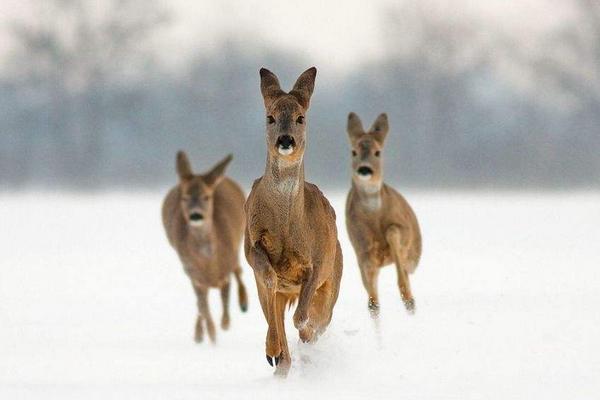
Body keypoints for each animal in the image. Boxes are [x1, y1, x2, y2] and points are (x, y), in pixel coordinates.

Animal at [161, 152, 247, 342]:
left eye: (206, 197)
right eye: (185, 197)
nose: (195, 215)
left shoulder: (225, 270)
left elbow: (225, 299)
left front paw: (224, 325)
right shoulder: (194, 275)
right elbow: (203, 307)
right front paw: (211, 336)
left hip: (239, 240)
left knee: (238, 269)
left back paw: (244, 303)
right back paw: (199, 334)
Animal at [244, 67, 344, 376]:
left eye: (301, 117)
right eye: (270, 117)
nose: (286, 140)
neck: (288, 227)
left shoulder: (319, 261)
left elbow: (302, 317)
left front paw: (305, 334)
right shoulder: (251, 245)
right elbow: (268, 277)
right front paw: (274, 351)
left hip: (334, 277)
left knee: (318, 318)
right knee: (275, 315)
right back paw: (277, 358)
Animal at [342, 113, 422, 318]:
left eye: (378, 152)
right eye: (353, 152)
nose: (364, 169)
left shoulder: (403, 229)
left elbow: (393, 232)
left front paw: (407, 296)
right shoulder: (361, 248)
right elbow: (372, 297)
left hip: (414, 255)